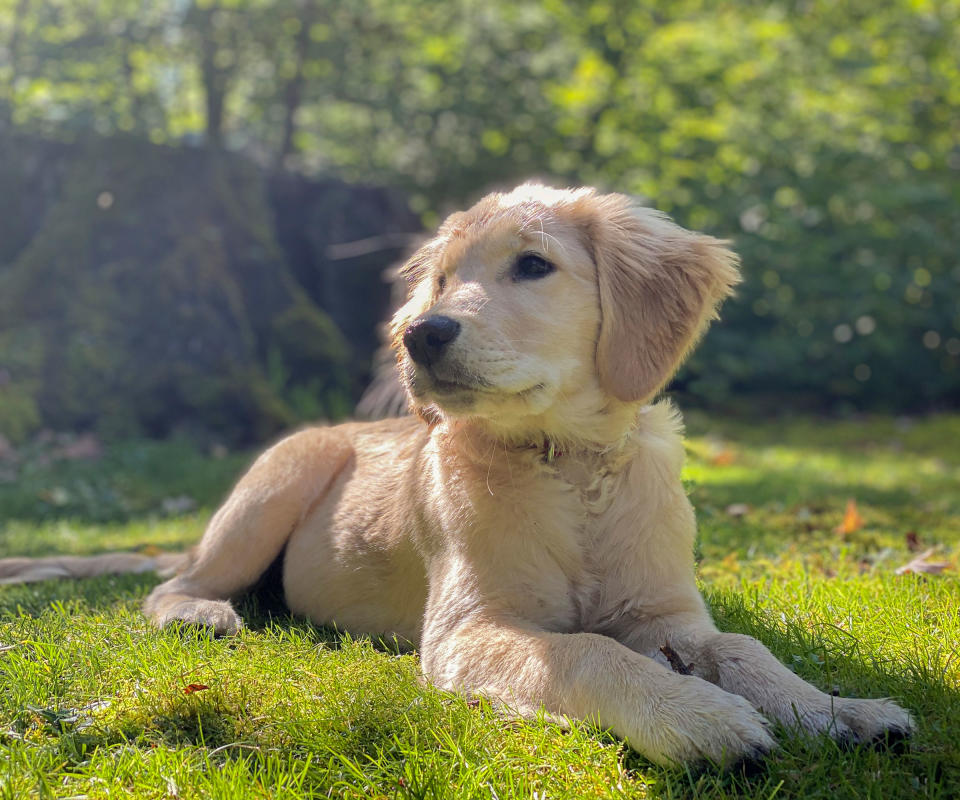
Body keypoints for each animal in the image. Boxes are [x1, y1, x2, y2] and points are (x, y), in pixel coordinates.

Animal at [35, 184, 916, 764]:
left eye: (533, 265)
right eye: (439, 278)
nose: (420, 334)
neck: (571, 466)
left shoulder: (666, 613)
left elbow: (742, 647)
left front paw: (838, 709)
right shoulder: (468, 628)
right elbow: (586, 653)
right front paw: (698, 718)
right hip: (274, 486)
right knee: (171, 586)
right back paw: (203, 614)